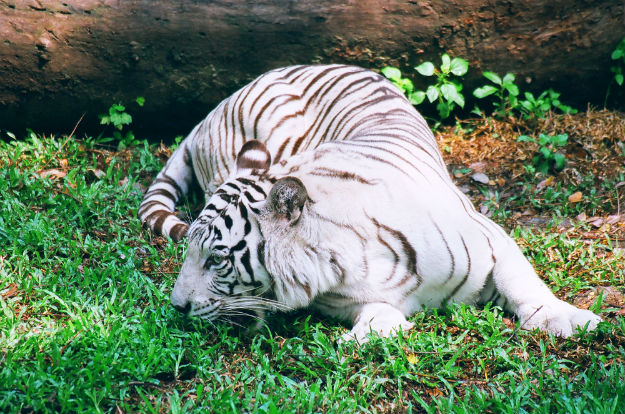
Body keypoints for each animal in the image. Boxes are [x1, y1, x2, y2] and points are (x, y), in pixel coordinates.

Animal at [139, 64, 604, 342]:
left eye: (216, 260)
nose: (177, 307)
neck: (344, 259)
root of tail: (212, 110)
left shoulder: (492, 237)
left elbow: (524, 282)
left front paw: (567, 318)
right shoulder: (339, 299)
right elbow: (385, 313)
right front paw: (368, 332)